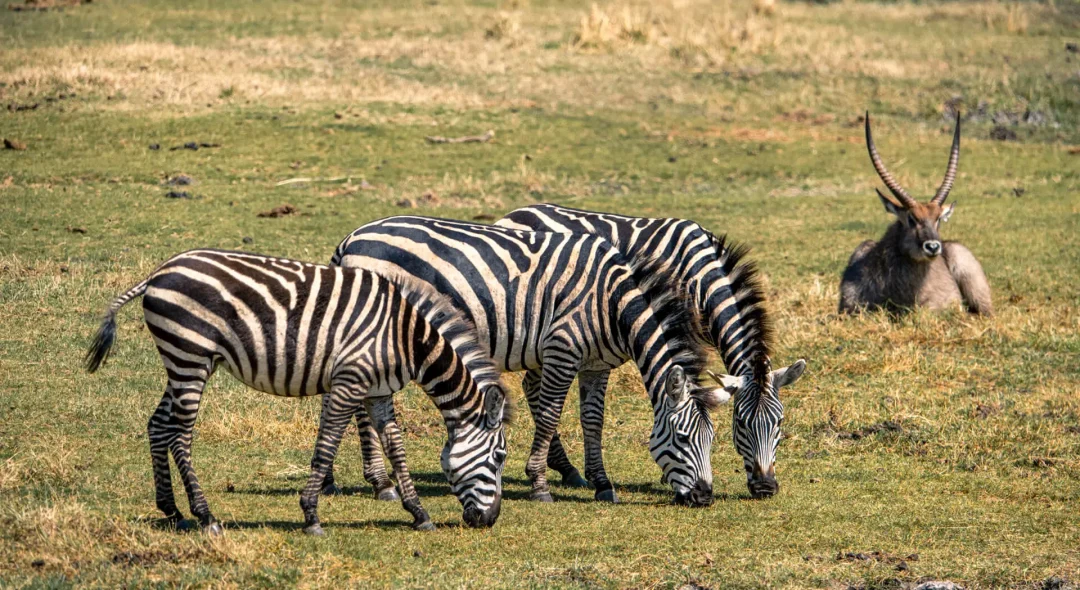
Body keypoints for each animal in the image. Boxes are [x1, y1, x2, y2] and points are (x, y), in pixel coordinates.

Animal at [85, 249, 509, 536]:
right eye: (500, 457)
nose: (489, 521)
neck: (406, 338)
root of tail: (158, 273)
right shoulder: (349, 382)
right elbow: (327, 446)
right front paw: (311, 515)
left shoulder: (378, 393)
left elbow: (397, 450)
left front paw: (418, 513)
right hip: (190, 356)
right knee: (180, 435)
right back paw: (205, 516)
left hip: (181, 361)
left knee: (158, 425)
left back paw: (171, 510)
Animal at [329, 216, 731, 506]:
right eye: (683, 437)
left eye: (711, 438)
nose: (705, 498)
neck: (611, 303)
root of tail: (352, 238)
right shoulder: (562, 349)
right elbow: (551, 414)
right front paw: (539, 484)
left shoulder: (596, 365)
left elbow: (593, 420)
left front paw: (601, 483)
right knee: (360, 407)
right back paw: (381, 483)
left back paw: (341, 481)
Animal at [496, 204, 806, 499]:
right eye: (741, 423)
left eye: (779, 422)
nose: (765, 487)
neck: (701, 276)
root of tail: (517, 212)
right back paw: (564, 467)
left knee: (531, 384)